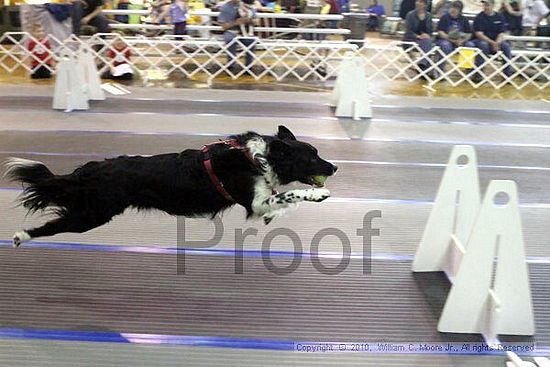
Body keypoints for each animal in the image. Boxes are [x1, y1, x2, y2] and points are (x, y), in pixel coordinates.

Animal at [6, 125, 338, 249]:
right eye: (312, 156)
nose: (335, 167)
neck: (257, 158)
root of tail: (93, 169)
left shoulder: (261, 200)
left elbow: (280, 201)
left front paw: (275, 215)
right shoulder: (254, 202)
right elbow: (292, 194)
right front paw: (318, 193)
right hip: (93, 215)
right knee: (52, 226)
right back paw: (21, 236)